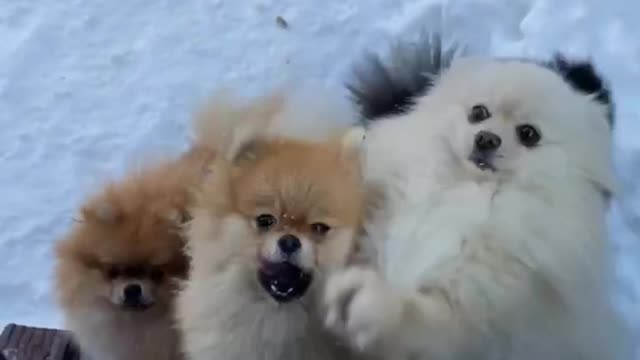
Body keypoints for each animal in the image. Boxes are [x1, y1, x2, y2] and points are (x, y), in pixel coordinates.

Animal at [322, 35, 632, 360]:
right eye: (478, 113)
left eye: (529, 134)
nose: (486, 138)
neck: (465, 189)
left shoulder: (485, 305)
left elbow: (429, 319)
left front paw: (369, 302)